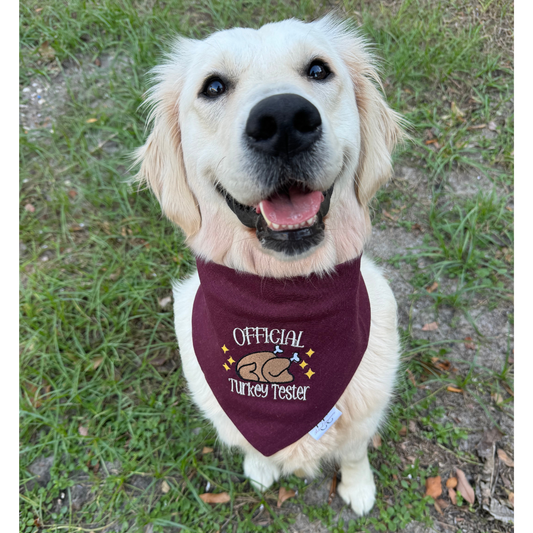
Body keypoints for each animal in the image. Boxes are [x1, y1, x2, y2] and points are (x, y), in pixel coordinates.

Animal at [133, 15, 404, 516]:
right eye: (213, 86)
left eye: (318, 70)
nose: (283, 121)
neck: (282, 294)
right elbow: (250, 444)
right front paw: (260, 467)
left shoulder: (364, 415)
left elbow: (355, 452)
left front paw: (359, 487)